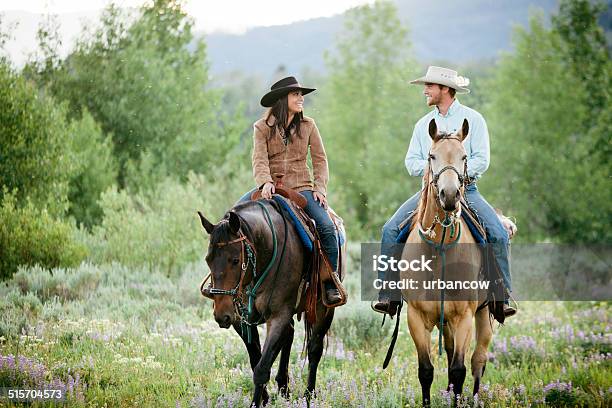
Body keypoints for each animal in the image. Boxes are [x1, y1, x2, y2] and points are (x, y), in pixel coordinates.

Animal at [197, 197, 344, 404]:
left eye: (235, 260)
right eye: (208, 259)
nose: (221, 314)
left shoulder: (278, 315)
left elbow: (262, 368)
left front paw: (256, 402)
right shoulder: (240, 319)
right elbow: (255, 359)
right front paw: (265, 398)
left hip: (324, 309)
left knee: (315, 349)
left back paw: (309, 395)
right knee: (289, 335)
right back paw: (283, 387)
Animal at [396, 117, 492, 404]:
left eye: (464, 156)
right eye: (432, 156)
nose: (449, 196)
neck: (439, 250)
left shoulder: (464, 317)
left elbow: (459, 370)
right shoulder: (416, 318)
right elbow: (426, 371)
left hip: (484, 314)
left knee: (477, 360)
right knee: (450, 353)